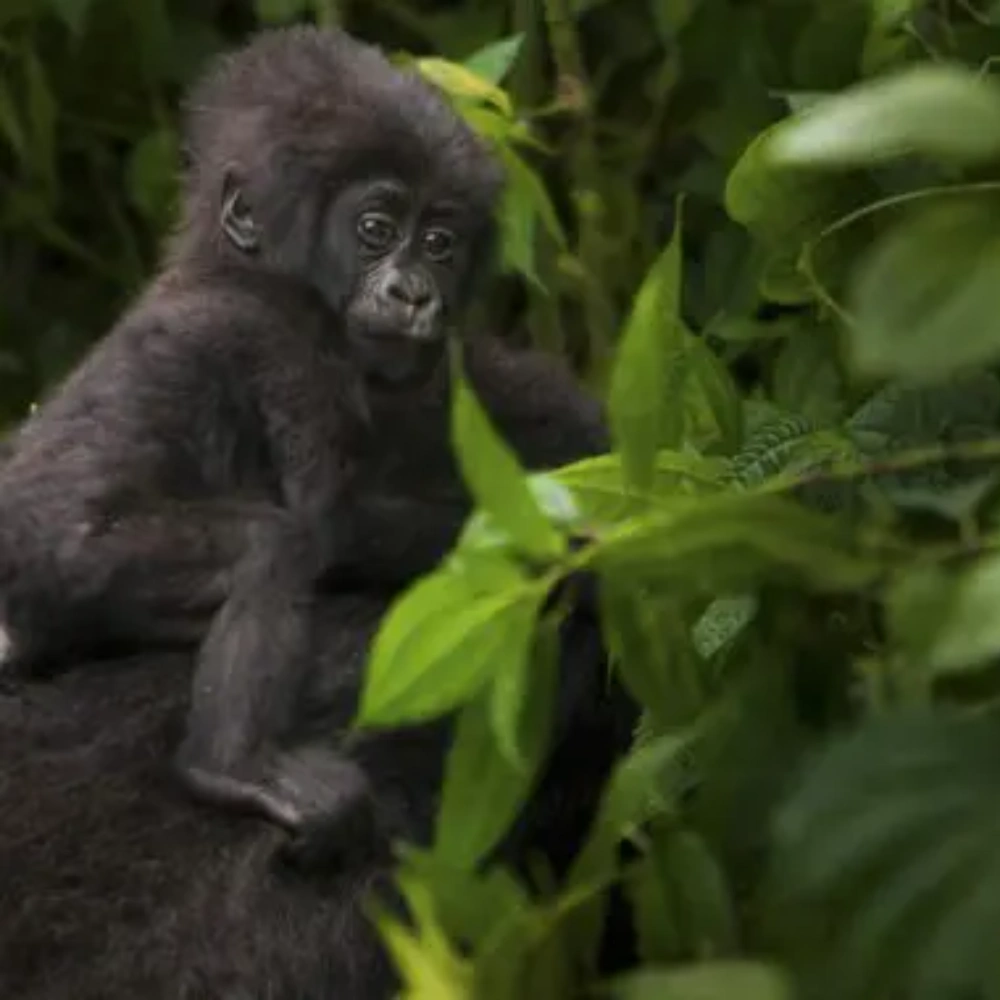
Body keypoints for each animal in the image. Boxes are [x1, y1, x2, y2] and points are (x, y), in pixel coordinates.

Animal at [0, 26, 609, 853]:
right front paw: (570, 533)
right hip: (67, 563)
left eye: (441, 244)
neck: (234, 264)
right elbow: (330, 513)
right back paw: (230, 768)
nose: (413, 294)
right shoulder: (287, 350)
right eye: (375, 231)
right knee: (274, 546)